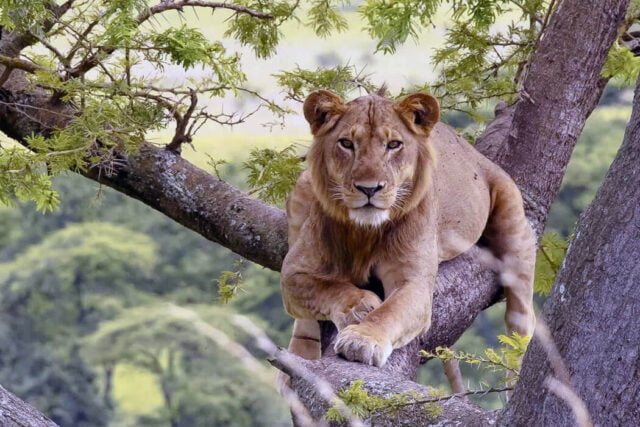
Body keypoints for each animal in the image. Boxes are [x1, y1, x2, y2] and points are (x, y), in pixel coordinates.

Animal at [280, 89, 536, 373]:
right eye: (346, 143)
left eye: (393, 145)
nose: (369, 188)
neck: (365, 232)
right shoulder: (293, 272)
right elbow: (327, 288)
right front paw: (360, 305)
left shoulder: (414, 283)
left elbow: (389, 312)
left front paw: (363, 339)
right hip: (303, 187)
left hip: (512, 218)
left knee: (522, 309)